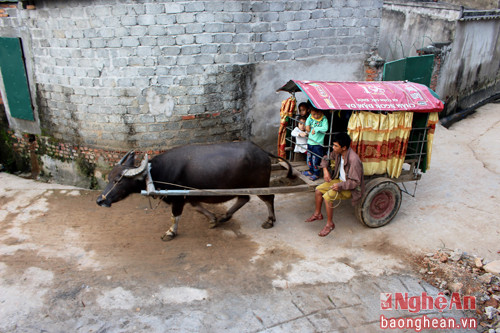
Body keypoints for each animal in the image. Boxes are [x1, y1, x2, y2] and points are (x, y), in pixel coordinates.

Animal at [94, 141, 292, 240]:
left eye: (119, 181)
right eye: (109, 178)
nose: (100, 200)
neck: (155, 173)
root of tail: (263, 152)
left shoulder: (178, 198)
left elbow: (175, 216)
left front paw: (170, 233)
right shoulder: (189, 195)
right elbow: (197, 207)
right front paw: (213, 219)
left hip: (260, 184)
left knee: (269, 198)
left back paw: (270, 220)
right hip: (241, 187)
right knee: (243, 199)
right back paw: (225, 216)